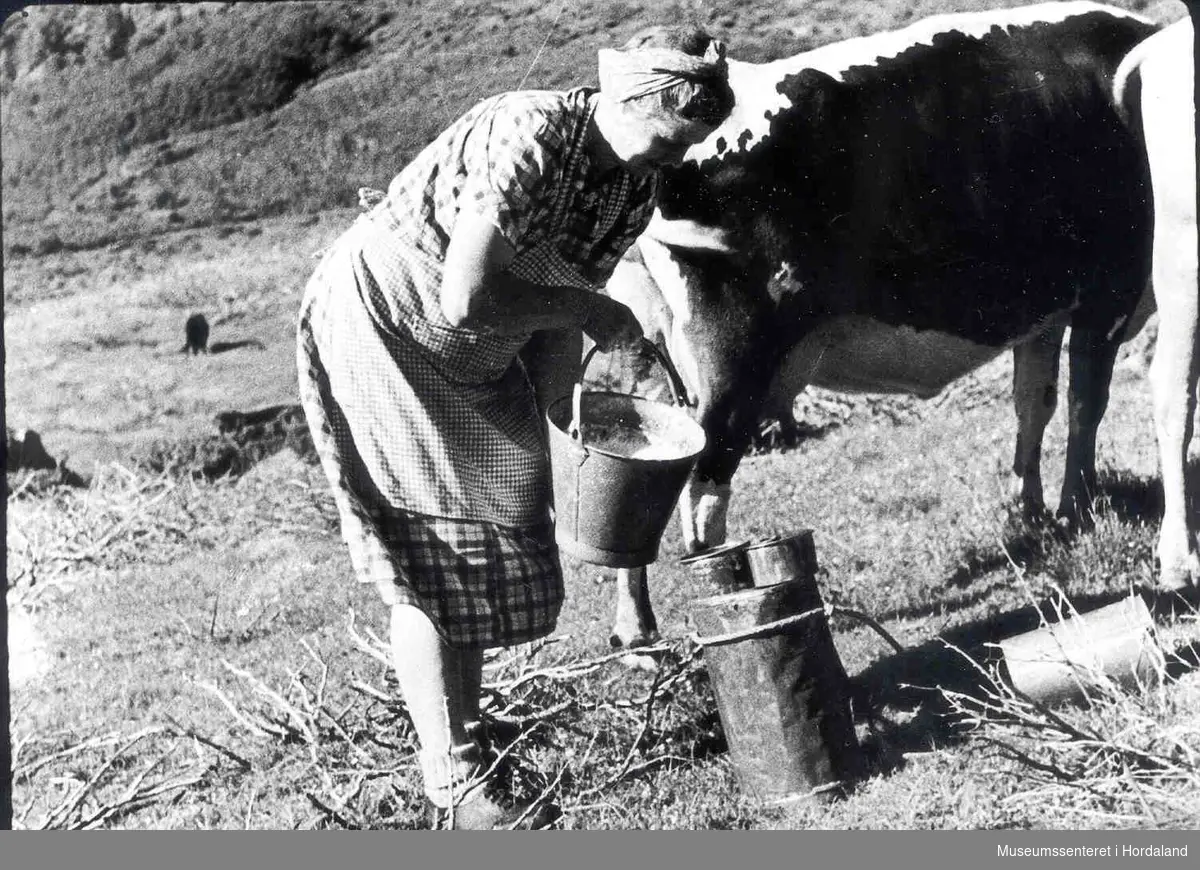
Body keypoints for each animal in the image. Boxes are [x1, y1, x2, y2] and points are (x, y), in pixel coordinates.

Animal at [604, 3, 1166, 648]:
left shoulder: (1043, 311)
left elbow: (1035, 404)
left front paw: (1030, 513)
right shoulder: (1110, 290)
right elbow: (1085, 405)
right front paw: (1079, 508)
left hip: (653, 364)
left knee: (642, 480)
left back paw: (636, 632)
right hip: (734, 363)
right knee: (701, 493)